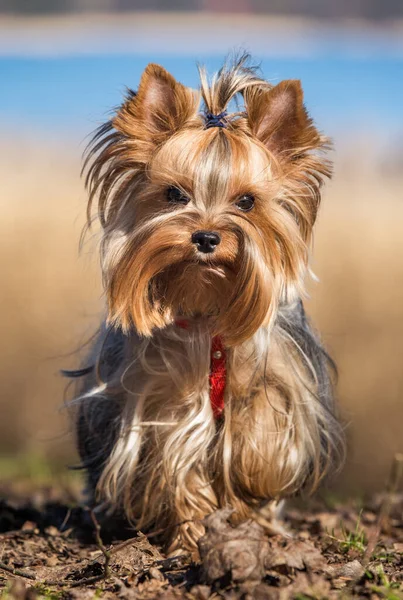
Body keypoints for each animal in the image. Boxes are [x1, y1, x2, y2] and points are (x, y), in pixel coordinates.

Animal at [72, 54, 344, 556]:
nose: (205, 237)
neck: (206, 308)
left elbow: (259, 432)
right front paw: (192, 531)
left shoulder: (279, 382)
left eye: (247, 201)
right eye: (174, 194)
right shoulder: (163, 396)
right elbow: (177, 457)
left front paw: (247, 489)